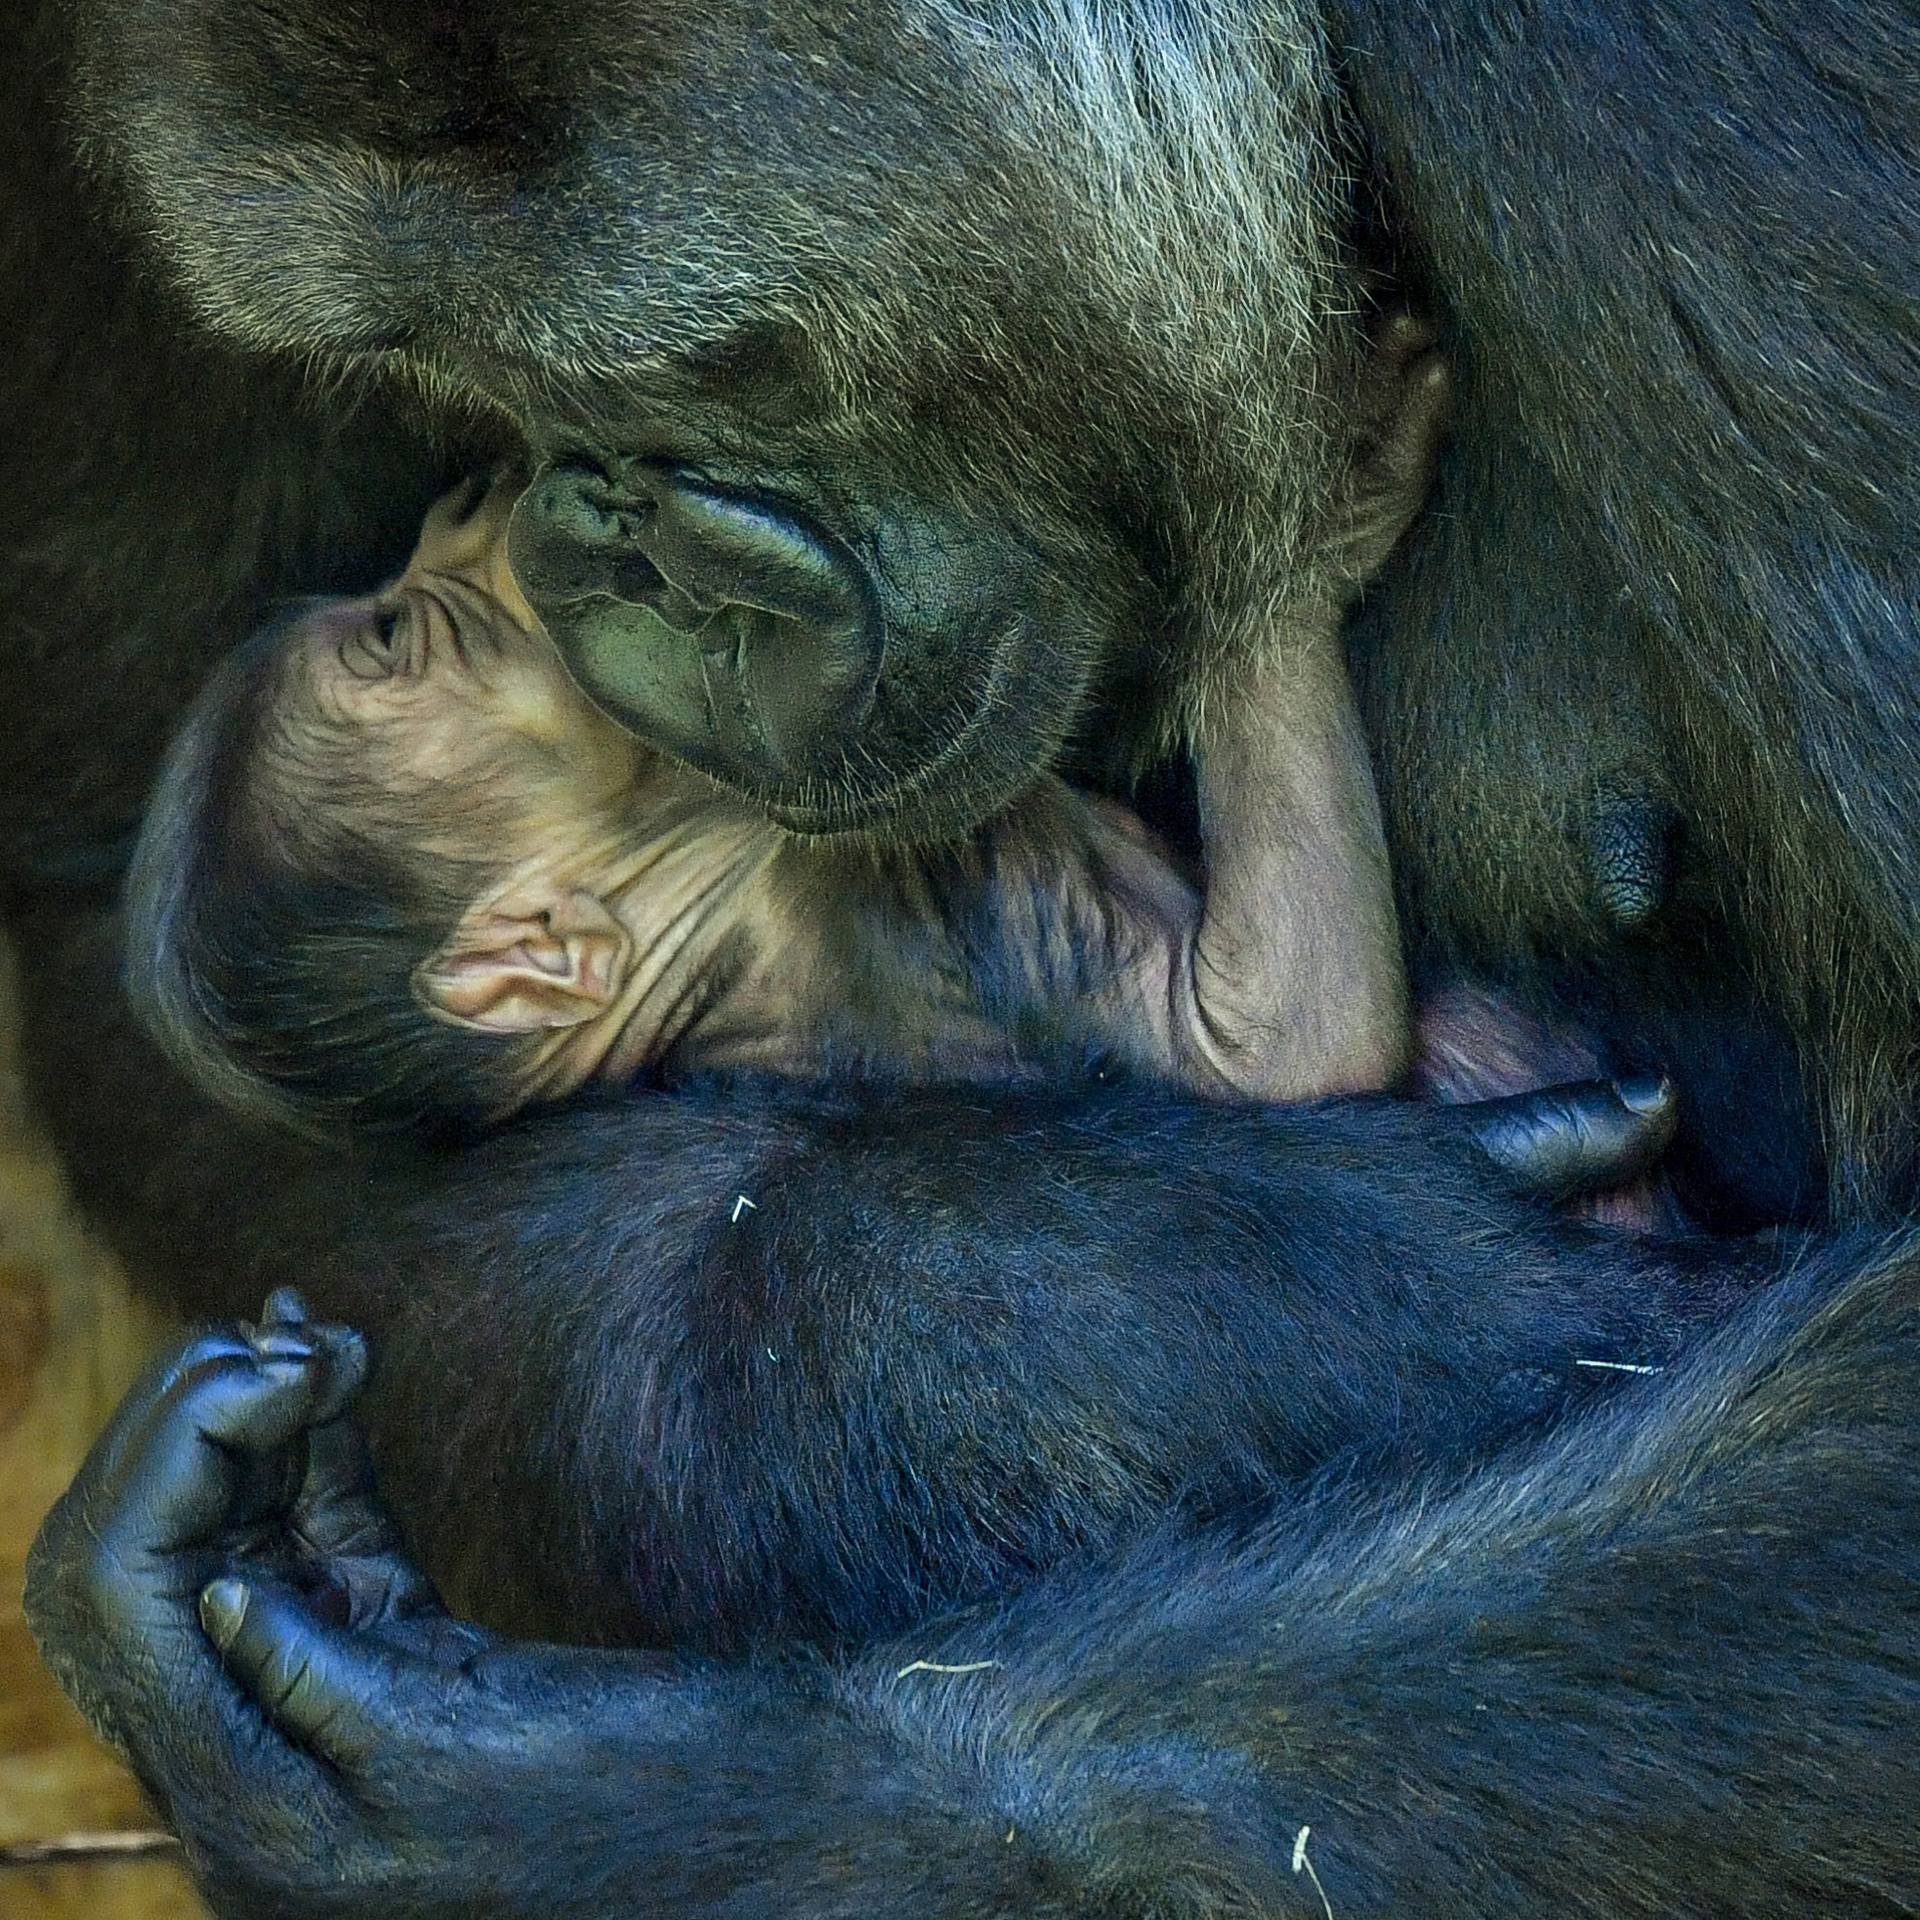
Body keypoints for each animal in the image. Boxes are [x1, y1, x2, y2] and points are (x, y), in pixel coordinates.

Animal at [135, 336, 1443, 1136]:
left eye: (394, 597)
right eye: (397, 633)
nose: (463, 502)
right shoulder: (910, 892)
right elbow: (1279, 1037)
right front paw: (1323, 520)